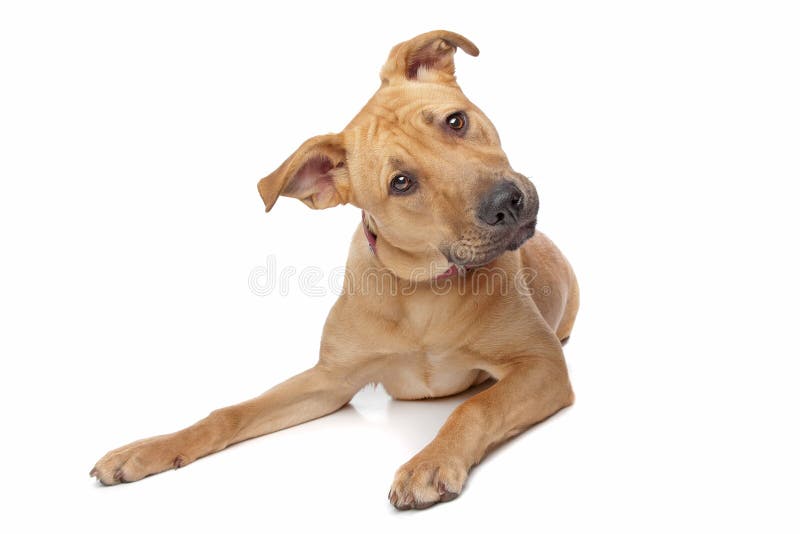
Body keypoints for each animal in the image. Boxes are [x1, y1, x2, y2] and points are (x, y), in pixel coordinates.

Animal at [92, 29, 580, 510]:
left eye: (456, 121)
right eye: (401, 183)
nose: (506, 203)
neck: (422, 289)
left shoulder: (541, 364)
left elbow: (475, 406)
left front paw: (430, 460)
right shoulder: (329, 380)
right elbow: (231, 412)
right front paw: (147, 449)